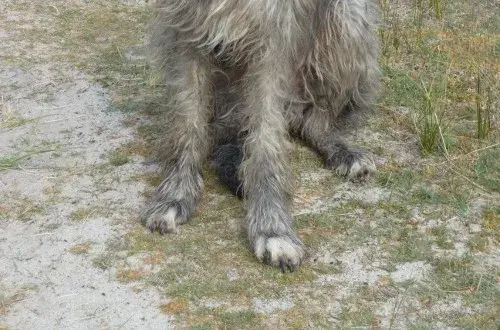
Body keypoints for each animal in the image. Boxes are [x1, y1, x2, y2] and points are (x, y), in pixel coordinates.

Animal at [143, 0, 380, 274]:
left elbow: (266, 141)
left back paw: (342, 151)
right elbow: (187, 123)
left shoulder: (271, 41)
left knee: (311, 122)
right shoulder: (184, 31)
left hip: (348, 18)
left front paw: (272, 228)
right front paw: (174, 194)